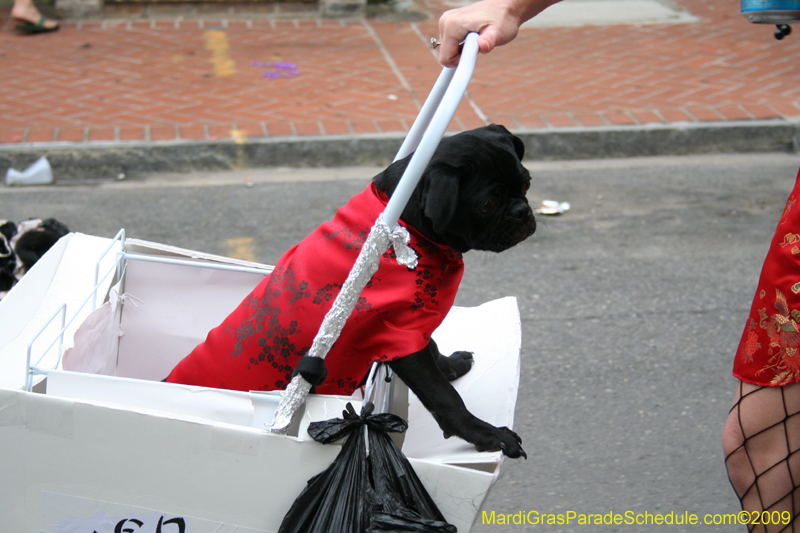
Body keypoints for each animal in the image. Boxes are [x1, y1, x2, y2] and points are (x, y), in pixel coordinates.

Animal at [166, 123, 536, 458]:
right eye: (488, 204)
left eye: (527, 183)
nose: (522, 212)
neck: (404, 228)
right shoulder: (402, 340)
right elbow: (445, 397)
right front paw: (487, 435)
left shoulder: (410, 326)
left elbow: (432, 348)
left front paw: (451, 365)